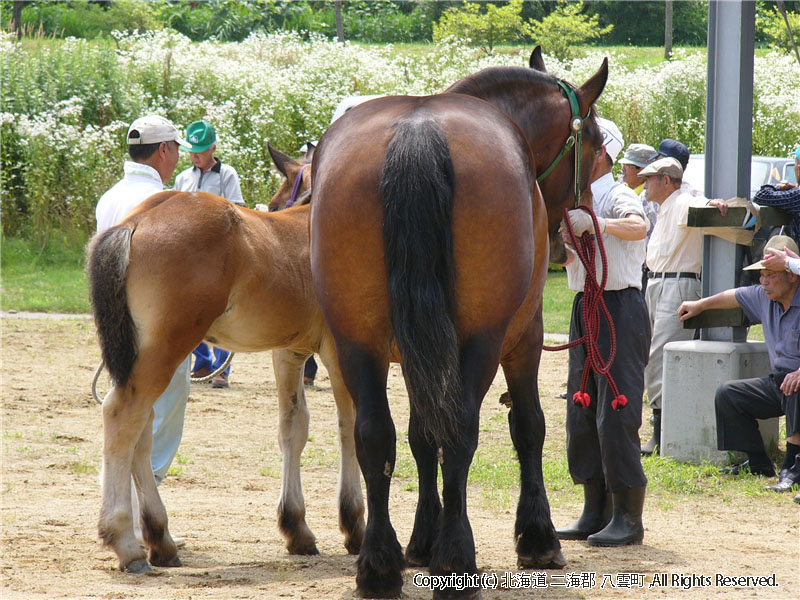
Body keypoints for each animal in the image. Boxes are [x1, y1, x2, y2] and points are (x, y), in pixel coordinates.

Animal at [86, 171, 362, 576]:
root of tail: (135, 222)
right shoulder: (345, 352)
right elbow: (356, 429)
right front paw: (357, 526)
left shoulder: (290, 352)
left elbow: (294, 427)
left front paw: (297, 529)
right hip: (164, 351)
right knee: (123, 416)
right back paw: (127, 542)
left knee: (142, 429)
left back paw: (160, 539)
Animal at [310, 54, 608, 596]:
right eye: (596, 148)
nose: (569, 237)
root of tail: (418, 130)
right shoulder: (525, 337)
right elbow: (527, 426)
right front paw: (537, 537)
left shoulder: (414, 351)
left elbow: (419, 436)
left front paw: (420, 541)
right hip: (482, 338)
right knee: (463, 430)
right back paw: (456, 559)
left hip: (356, 338)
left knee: (376, 435)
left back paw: (379, 565)